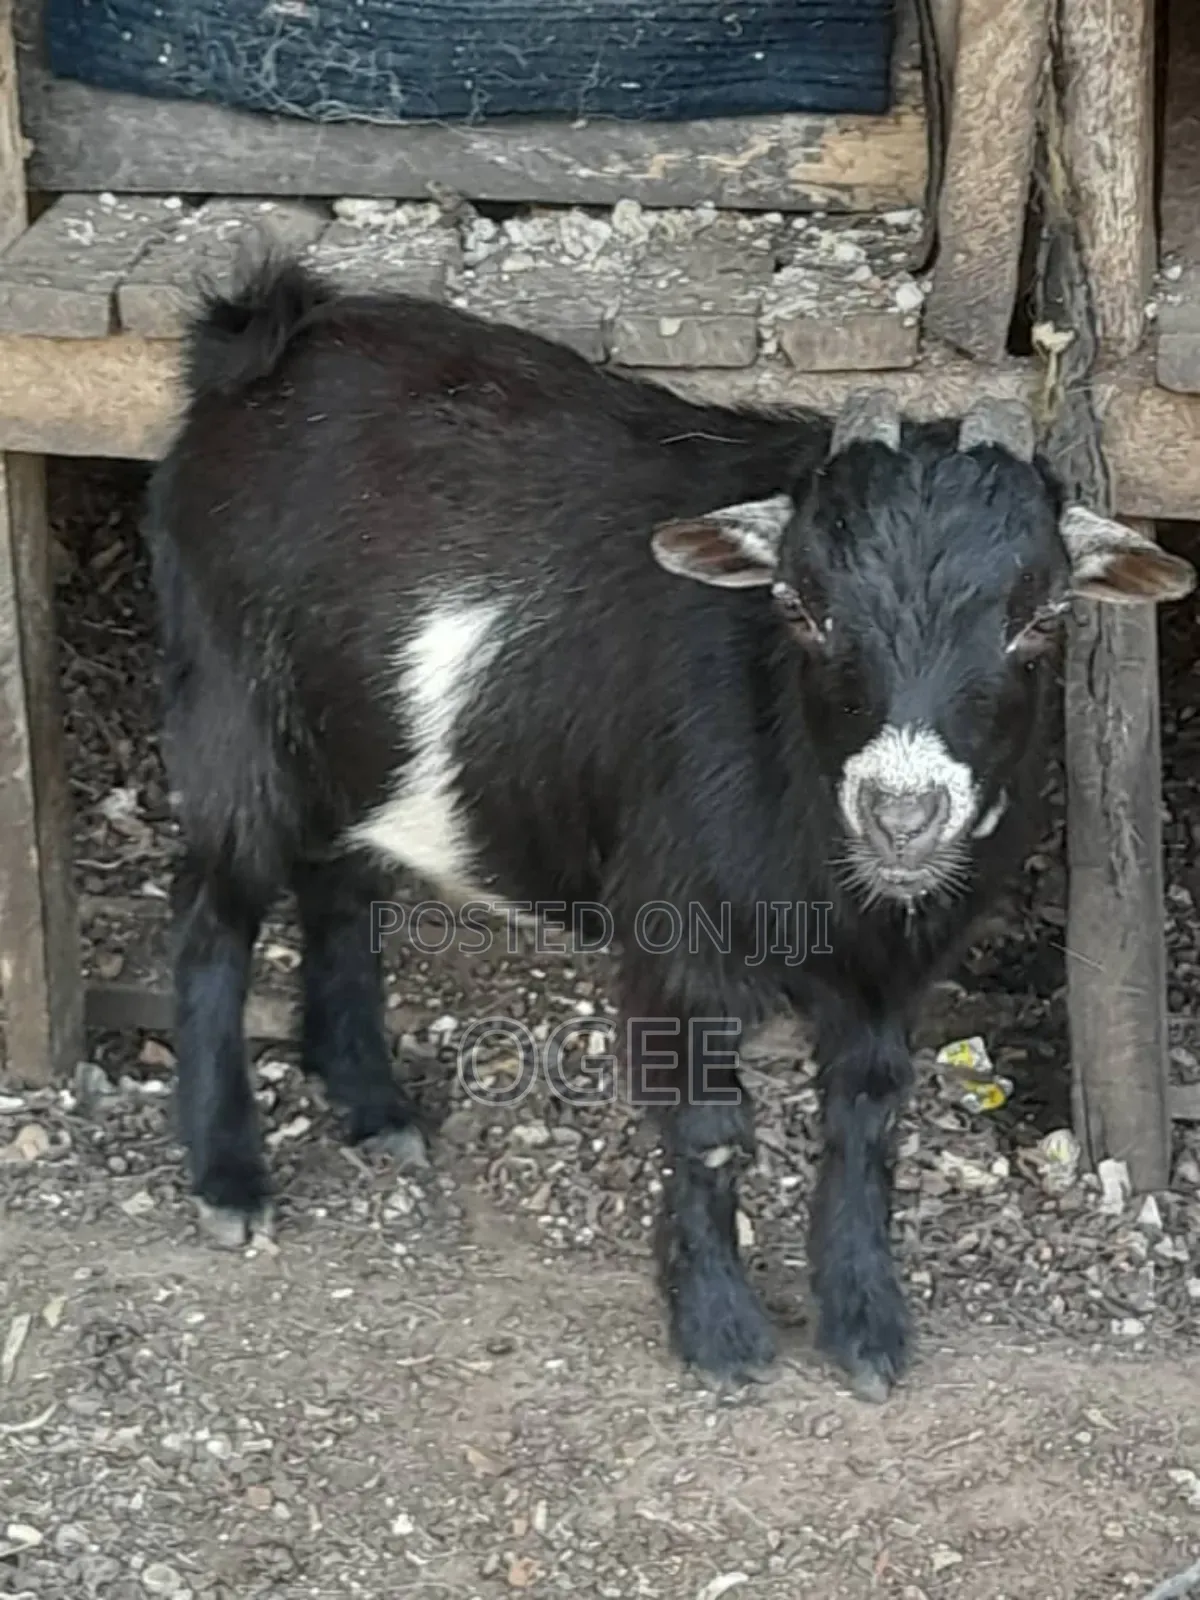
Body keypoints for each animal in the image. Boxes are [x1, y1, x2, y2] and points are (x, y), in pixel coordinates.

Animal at [143, 259, 1195, 1399]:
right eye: (801, 605)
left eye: (1039, 619)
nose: (903, 812)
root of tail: (262, 339)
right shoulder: (676, 934)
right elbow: (707, 1125)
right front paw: (720, 1331)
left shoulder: (892, 967)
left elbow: (867, 1116)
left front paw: (866, 1325)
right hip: (234, 714)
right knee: (212, 916)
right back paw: (230, 1177)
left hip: (360, 750)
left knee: (337, 886)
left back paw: (375, 1107)